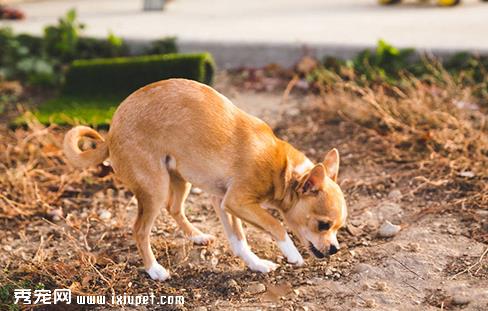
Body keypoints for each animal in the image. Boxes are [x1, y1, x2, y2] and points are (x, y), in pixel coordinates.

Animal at [65, 78, 346, 282]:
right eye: (323, 225)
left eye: (338, 228)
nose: (335, 249)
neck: (283, 169)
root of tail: (112, 130)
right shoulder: (238, 202)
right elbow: (275, 224)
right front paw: (292, 254)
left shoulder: (223, 202)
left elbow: (238, 239)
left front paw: (256, 264)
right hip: (155, 189)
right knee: (140, 230)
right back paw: (155, 270)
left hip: (180, 179)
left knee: (174, 208)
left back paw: (197, 236)